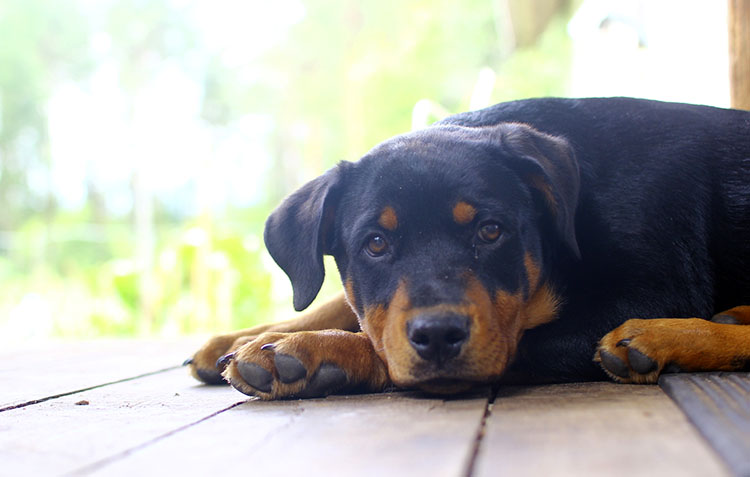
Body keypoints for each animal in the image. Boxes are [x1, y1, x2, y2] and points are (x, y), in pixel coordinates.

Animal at [184, 96, 750, 398]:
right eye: (375, 243)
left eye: (490, 231)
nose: (437, 335)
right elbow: (343, 302)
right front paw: (243, 337)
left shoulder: (652, 289)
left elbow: (507, 341)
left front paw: (308, 350)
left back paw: (663, 338)